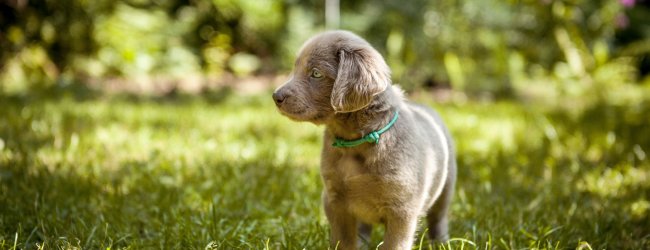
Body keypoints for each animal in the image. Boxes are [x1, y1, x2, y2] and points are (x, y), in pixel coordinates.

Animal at [270, 30, 454, 249]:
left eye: (315, 73)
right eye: (295, 68)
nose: (275, 96)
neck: (354, 144)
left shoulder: (402, 208)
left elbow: (395, 244)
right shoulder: (334, 200)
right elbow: (343, 241)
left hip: (446, 185)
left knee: (438, 218)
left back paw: (441, 242)